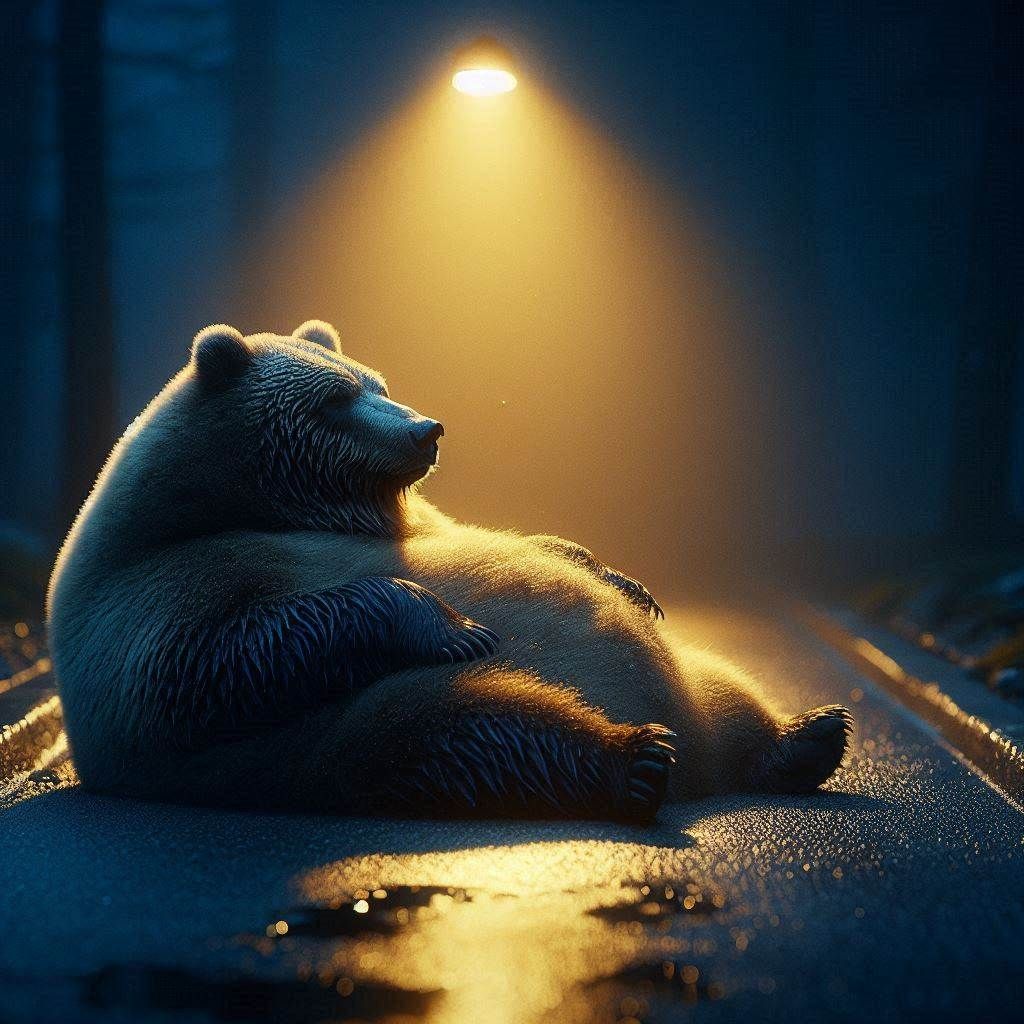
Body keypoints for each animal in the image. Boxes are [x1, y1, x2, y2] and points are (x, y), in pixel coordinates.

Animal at [46, 321, 851, 824]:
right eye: (335, 399)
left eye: (375, 380)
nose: (426, 428)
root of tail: (703, 759)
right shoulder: (152, 590)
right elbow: (228, 655)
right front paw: (452, 624)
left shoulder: (415, 519)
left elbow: (518, 541)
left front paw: (628, 581)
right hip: (378, 721)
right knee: (491, 730)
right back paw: (637, 759)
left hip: (695, 674)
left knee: (731, 689)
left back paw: (809, 733)